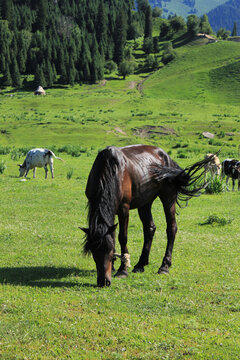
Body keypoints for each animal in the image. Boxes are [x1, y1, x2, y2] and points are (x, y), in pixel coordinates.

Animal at [81, 144, 214, 286]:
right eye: (93, 252)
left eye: (110, 251)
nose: (103, 282)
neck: (111, 172)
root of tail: (167, 158)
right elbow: (113, 235)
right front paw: (116, 267)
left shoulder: (124, 208)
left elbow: (123, 237)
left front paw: (123, 270)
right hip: (145, 202)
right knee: (150, 228)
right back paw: (140, 264)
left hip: (168, 198)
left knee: (171, 228)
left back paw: (164, 266)